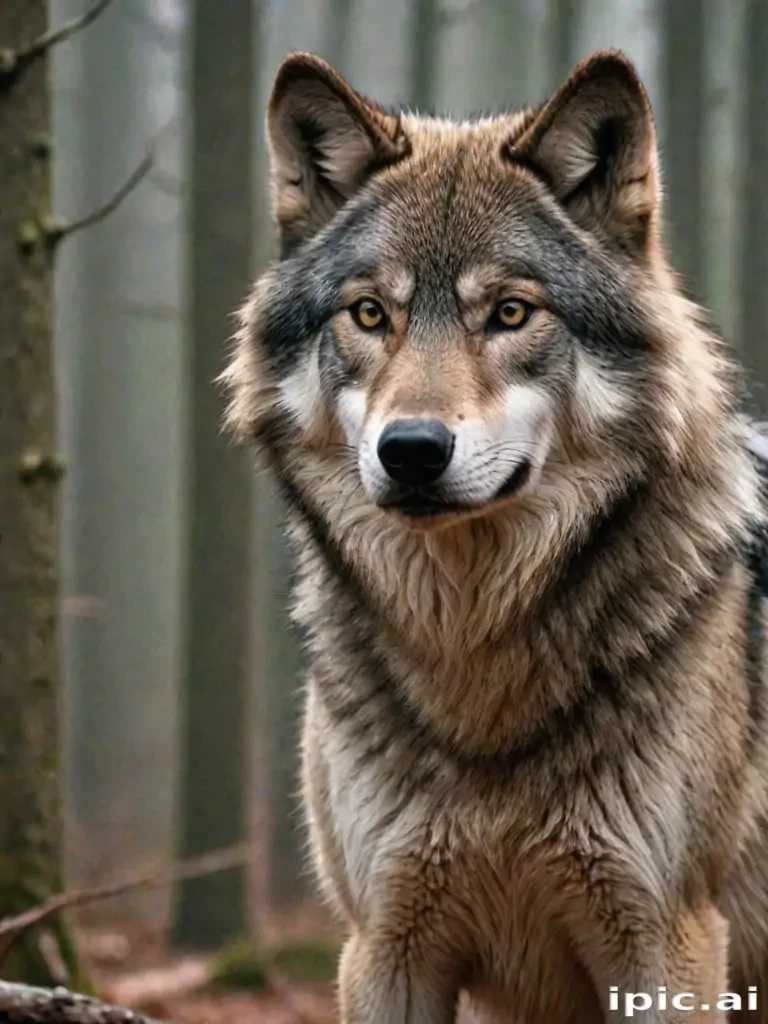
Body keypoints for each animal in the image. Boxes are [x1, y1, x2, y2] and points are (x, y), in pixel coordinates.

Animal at [222, 48, 768, 1023]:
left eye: (510, 313)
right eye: (371, 314)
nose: (410, 450)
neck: (476, 668)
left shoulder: (667, 945)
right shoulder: (385, 944)